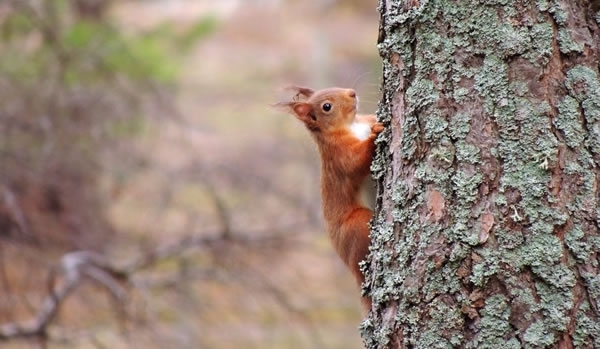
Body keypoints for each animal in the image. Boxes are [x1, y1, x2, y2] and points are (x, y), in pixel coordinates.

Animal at [278, 85, 384, 308]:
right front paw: (375, 135)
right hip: (357, 225)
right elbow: (356, 161)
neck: (352, 125)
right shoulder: (339, 156)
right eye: (327, 107)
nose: (352, 92)